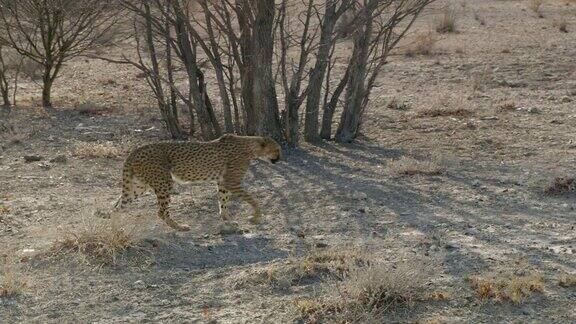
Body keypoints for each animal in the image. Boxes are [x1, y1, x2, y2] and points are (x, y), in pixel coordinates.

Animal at [113, 134, 282, 230]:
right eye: (277, 149)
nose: (280, 158)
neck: (250, 146)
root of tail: (135, 150)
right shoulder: (231, 182)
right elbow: (252, 199)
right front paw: (256, 216)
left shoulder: (222, 182)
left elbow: (223, 200)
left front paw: (226, 219)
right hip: (164, 182)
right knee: (161, 211)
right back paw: (179, 227)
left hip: (138, 186)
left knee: (118, 204)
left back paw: (113, 223)